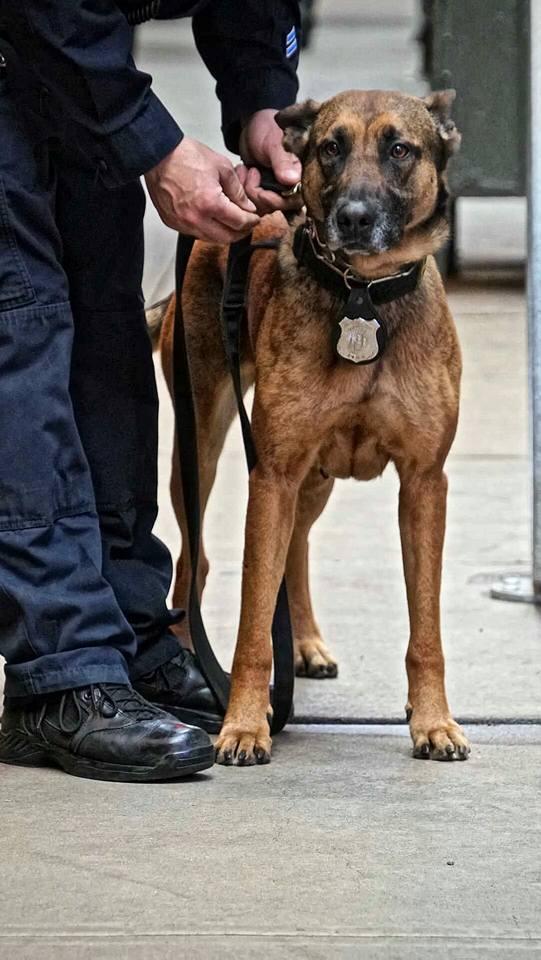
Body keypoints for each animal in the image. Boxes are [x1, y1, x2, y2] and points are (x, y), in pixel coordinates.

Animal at [151, 88, 468, 764]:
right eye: (330, 147)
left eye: (400, 149)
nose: (353, 217)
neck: (364, 295)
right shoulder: (271, 474)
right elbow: (252, 623)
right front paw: (244, 723)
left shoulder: (424, 482)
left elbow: (425, 626)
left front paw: (432, 720)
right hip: (203, 448)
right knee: (195, 562)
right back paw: (190, 661)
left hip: (317, 477)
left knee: (295, 546)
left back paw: (304, 643)